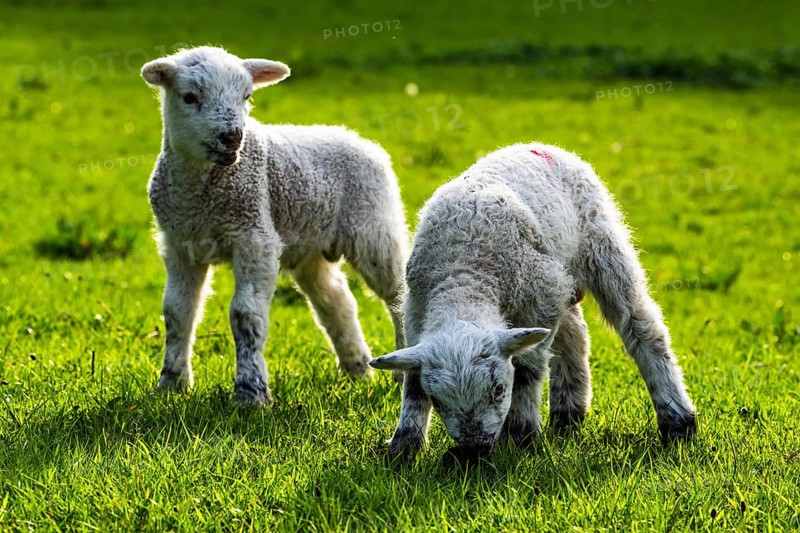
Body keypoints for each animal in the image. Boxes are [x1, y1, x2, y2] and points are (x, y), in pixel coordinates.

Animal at [140, 46, 407, 405]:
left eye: (247, 96)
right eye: (190, 97)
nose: (232, 136)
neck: (201, 197)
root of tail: (358, 139)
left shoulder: (255, 237)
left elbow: (245, 314)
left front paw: (250, 392)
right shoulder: (180, 245)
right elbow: (177, 312)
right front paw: (171, 383)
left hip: (374, 228)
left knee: (398, 295)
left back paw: (403, 368)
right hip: (311, 247)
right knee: (336, 300)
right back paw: (358, 369)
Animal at [370, 143, 697, 462]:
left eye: (499, 390)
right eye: (437, 400)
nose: (475, 452)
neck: (464, 275)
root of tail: (540, 146)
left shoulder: (541, 297)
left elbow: (527, 369)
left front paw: (522, 435)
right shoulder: (416, 311)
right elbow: (413, 383)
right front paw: (404, 445)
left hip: (601, 247)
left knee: (641, 326)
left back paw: (678, 422)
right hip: (560, 275)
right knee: (575, 333)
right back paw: (569, 413)